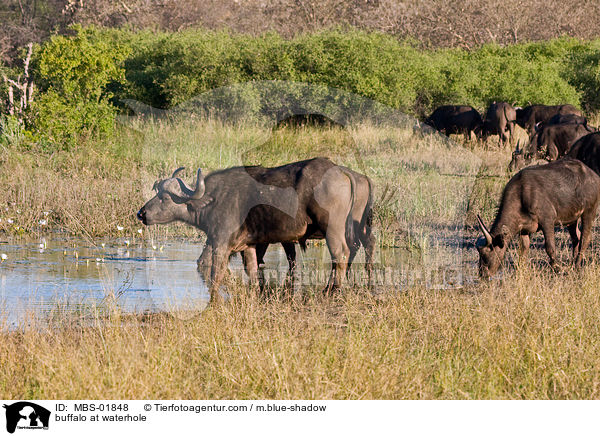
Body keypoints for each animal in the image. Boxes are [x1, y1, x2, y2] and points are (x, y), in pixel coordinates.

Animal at [138, 158, 372, 304]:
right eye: (157, 192)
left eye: (164, 197)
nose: (141, 213)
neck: (212, 199)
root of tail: (342, 172)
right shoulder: (249, 247)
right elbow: (252, 274)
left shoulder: (220, 246)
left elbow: (215, 276)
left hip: (333, 230)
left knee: (341, 254)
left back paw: (333, 289)